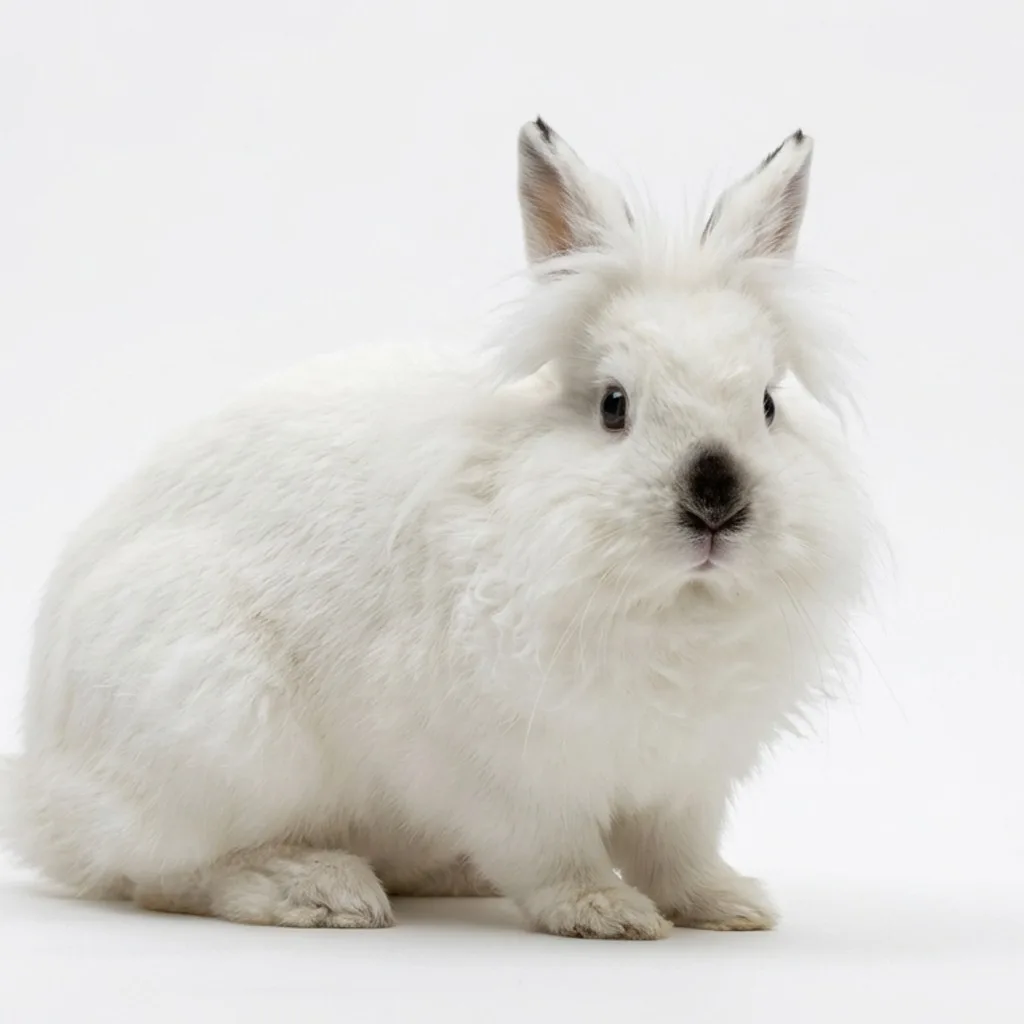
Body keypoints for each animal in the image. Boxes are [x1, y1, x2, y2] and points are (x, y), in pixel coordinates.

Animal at [0, 118, 869, 939]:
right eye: (614, 404)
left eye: (767, 403)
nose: (717, 499)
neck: (673, 607)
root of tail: (45, 790)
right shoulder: (506, 774)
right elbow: (555, 854)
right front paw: (604, 912)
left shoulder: (686, 784)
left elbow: (677, 856)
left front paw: (730, 905)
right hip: (219, 728)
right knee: (167, 871)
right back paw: (321, 890)